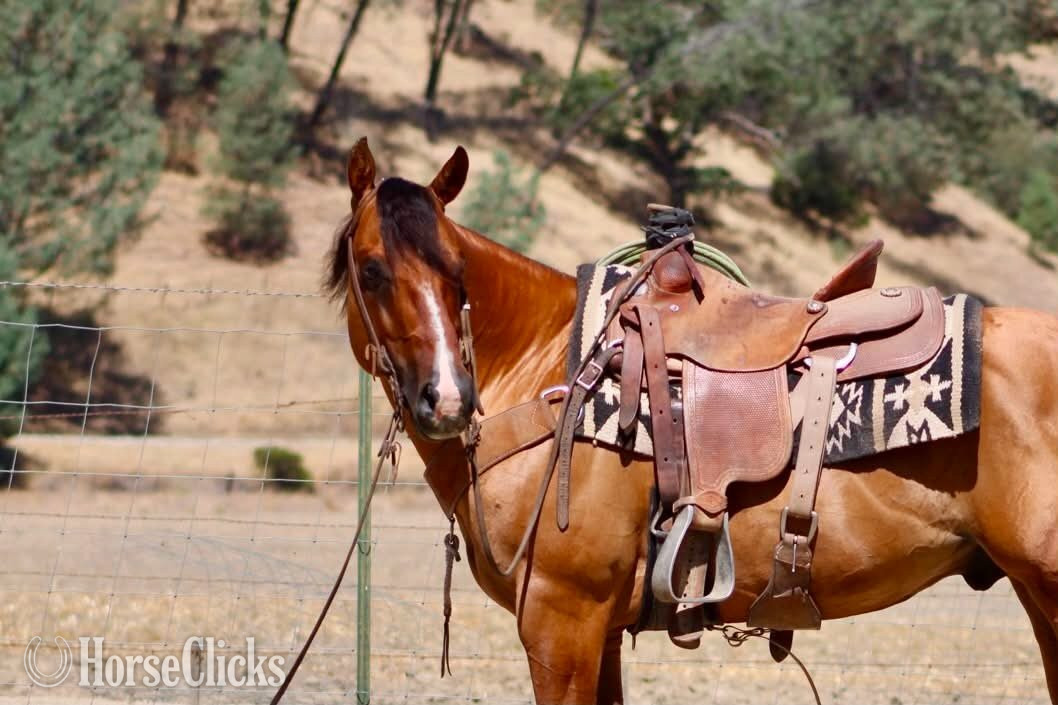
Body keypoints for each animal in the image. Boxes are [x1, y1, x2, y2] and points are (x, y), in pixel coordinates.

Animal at [325, 137, 1058, 705]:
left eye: (456, 273)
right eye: (373, 270)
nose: (446, 399)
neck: (545, 368)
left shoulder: (561, 621)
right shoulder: (597, 632)